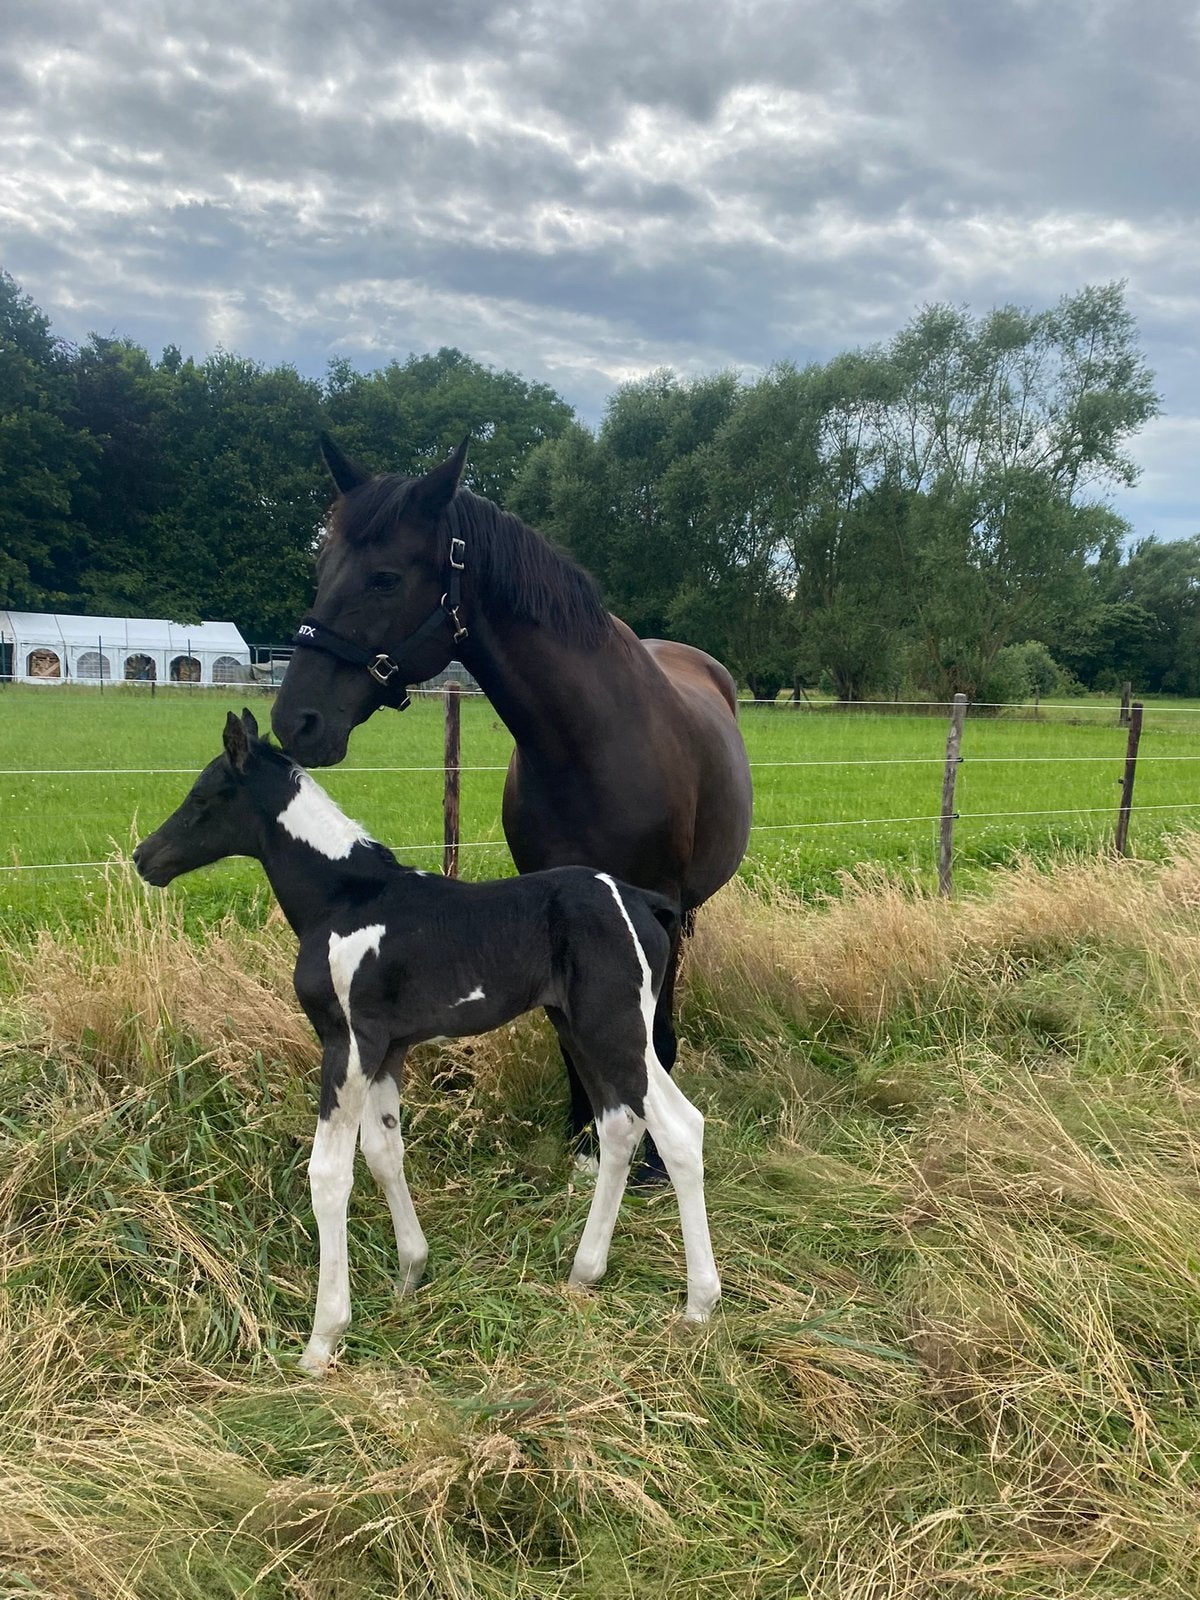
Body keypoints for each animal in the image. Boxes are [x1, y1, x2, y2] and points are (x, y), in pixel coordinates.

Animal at [134, 711, 721, 1375]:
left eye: (203, 796)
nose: (144, 858)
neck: (344, 899)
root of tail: (642, 899)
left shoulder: (349, 1043)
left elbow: (329, 1174)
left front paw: (322, 1339)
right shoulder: (387, 1051)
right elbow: (383, 1154)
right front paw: (409, 1276)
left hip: (614, 1027)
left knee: (678, 1127)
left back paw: (698, 1305)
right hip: (579, 1027)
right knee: (620, 1126)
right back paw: (583, 1272)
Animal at [272, 436, 753, 1180]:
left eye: (385, 578)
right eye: (323, 567)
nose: (296, 720)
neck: (589, 745)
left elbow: (654, 1039)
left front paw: (645, 1161)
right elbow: (570, 1038)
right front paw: (584, 1136)